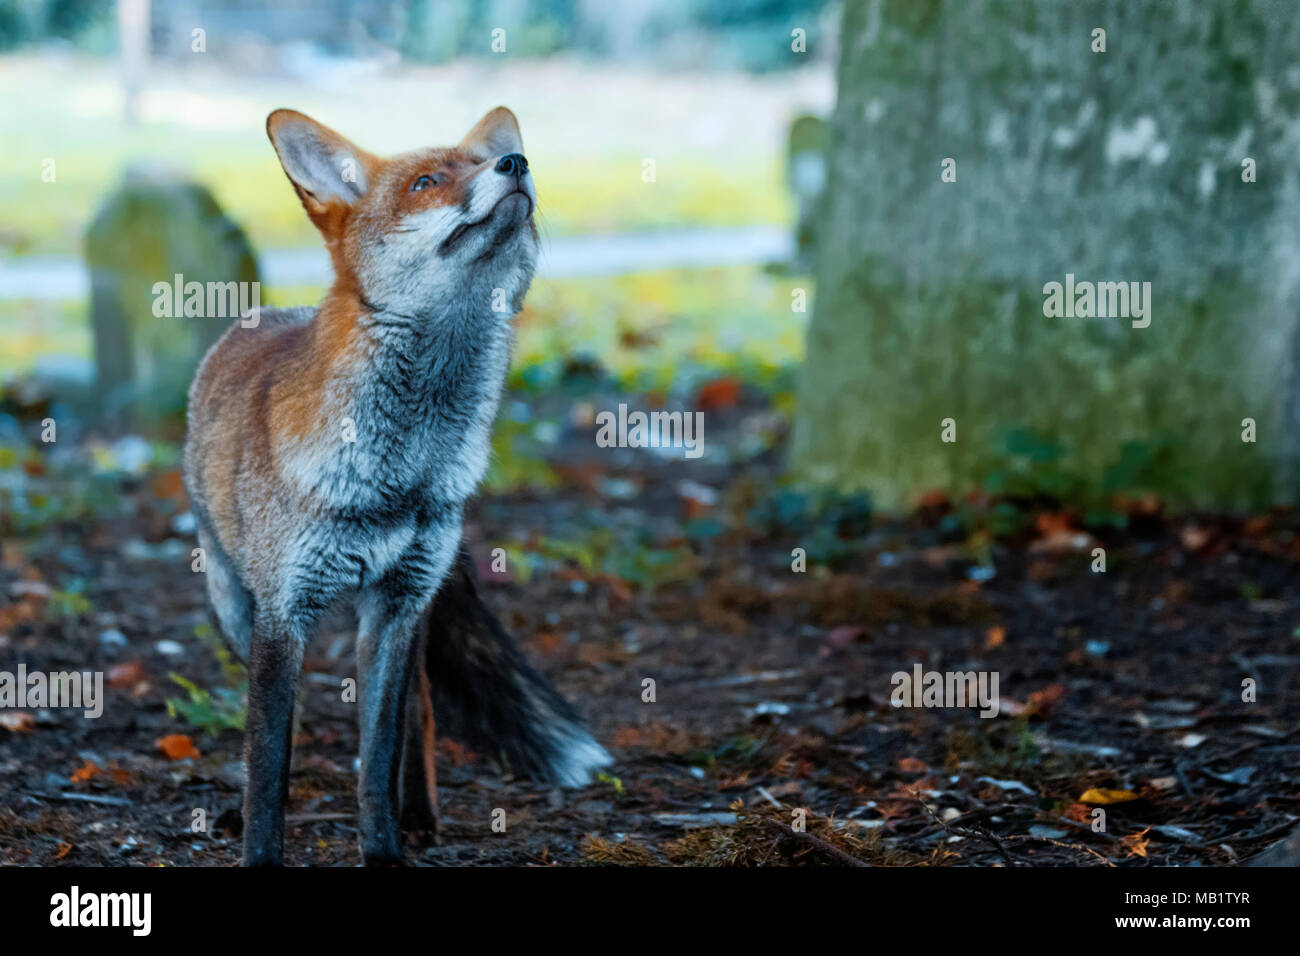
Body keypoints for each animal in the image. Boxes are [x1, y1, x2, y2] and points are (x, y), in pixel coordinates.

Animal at [182, 106, 611, 866]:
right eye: (425, 183)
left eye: (485, 162)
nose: (518, 163)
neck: (403, 470)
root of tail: (268, 313)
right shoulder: (282, 613)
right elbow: (267, 761)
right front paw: (261, 850)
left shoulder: (397, 603)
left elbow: (378, 755)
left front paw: (383, 850)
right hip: (234, 606)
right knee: (280, 728)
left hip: (411, 613)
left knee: (421, 708)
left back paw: (420, 814)